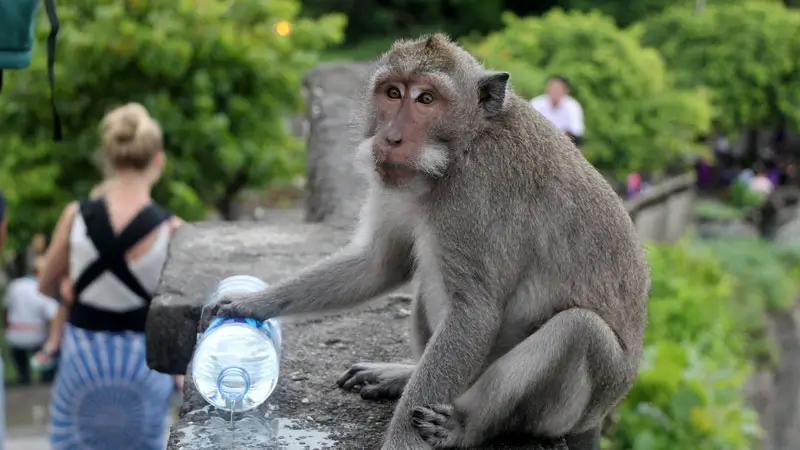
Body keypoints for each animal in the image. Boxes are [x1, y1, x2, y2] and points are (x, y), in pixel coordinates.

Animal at [205, 33, 650, 450]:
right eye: (393, 93)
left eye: (426, 99)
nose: (391, 138)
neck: (460, 149)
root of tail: (600, 415)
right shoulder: (394, 181)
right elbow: (380, 263)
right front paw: (249, 303)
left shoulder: (477, 193)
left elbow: (475, 312)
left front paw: (400, 439)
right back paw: (403, 376)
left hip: (569, 410)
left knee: (580, 330)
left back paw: (466, 425)